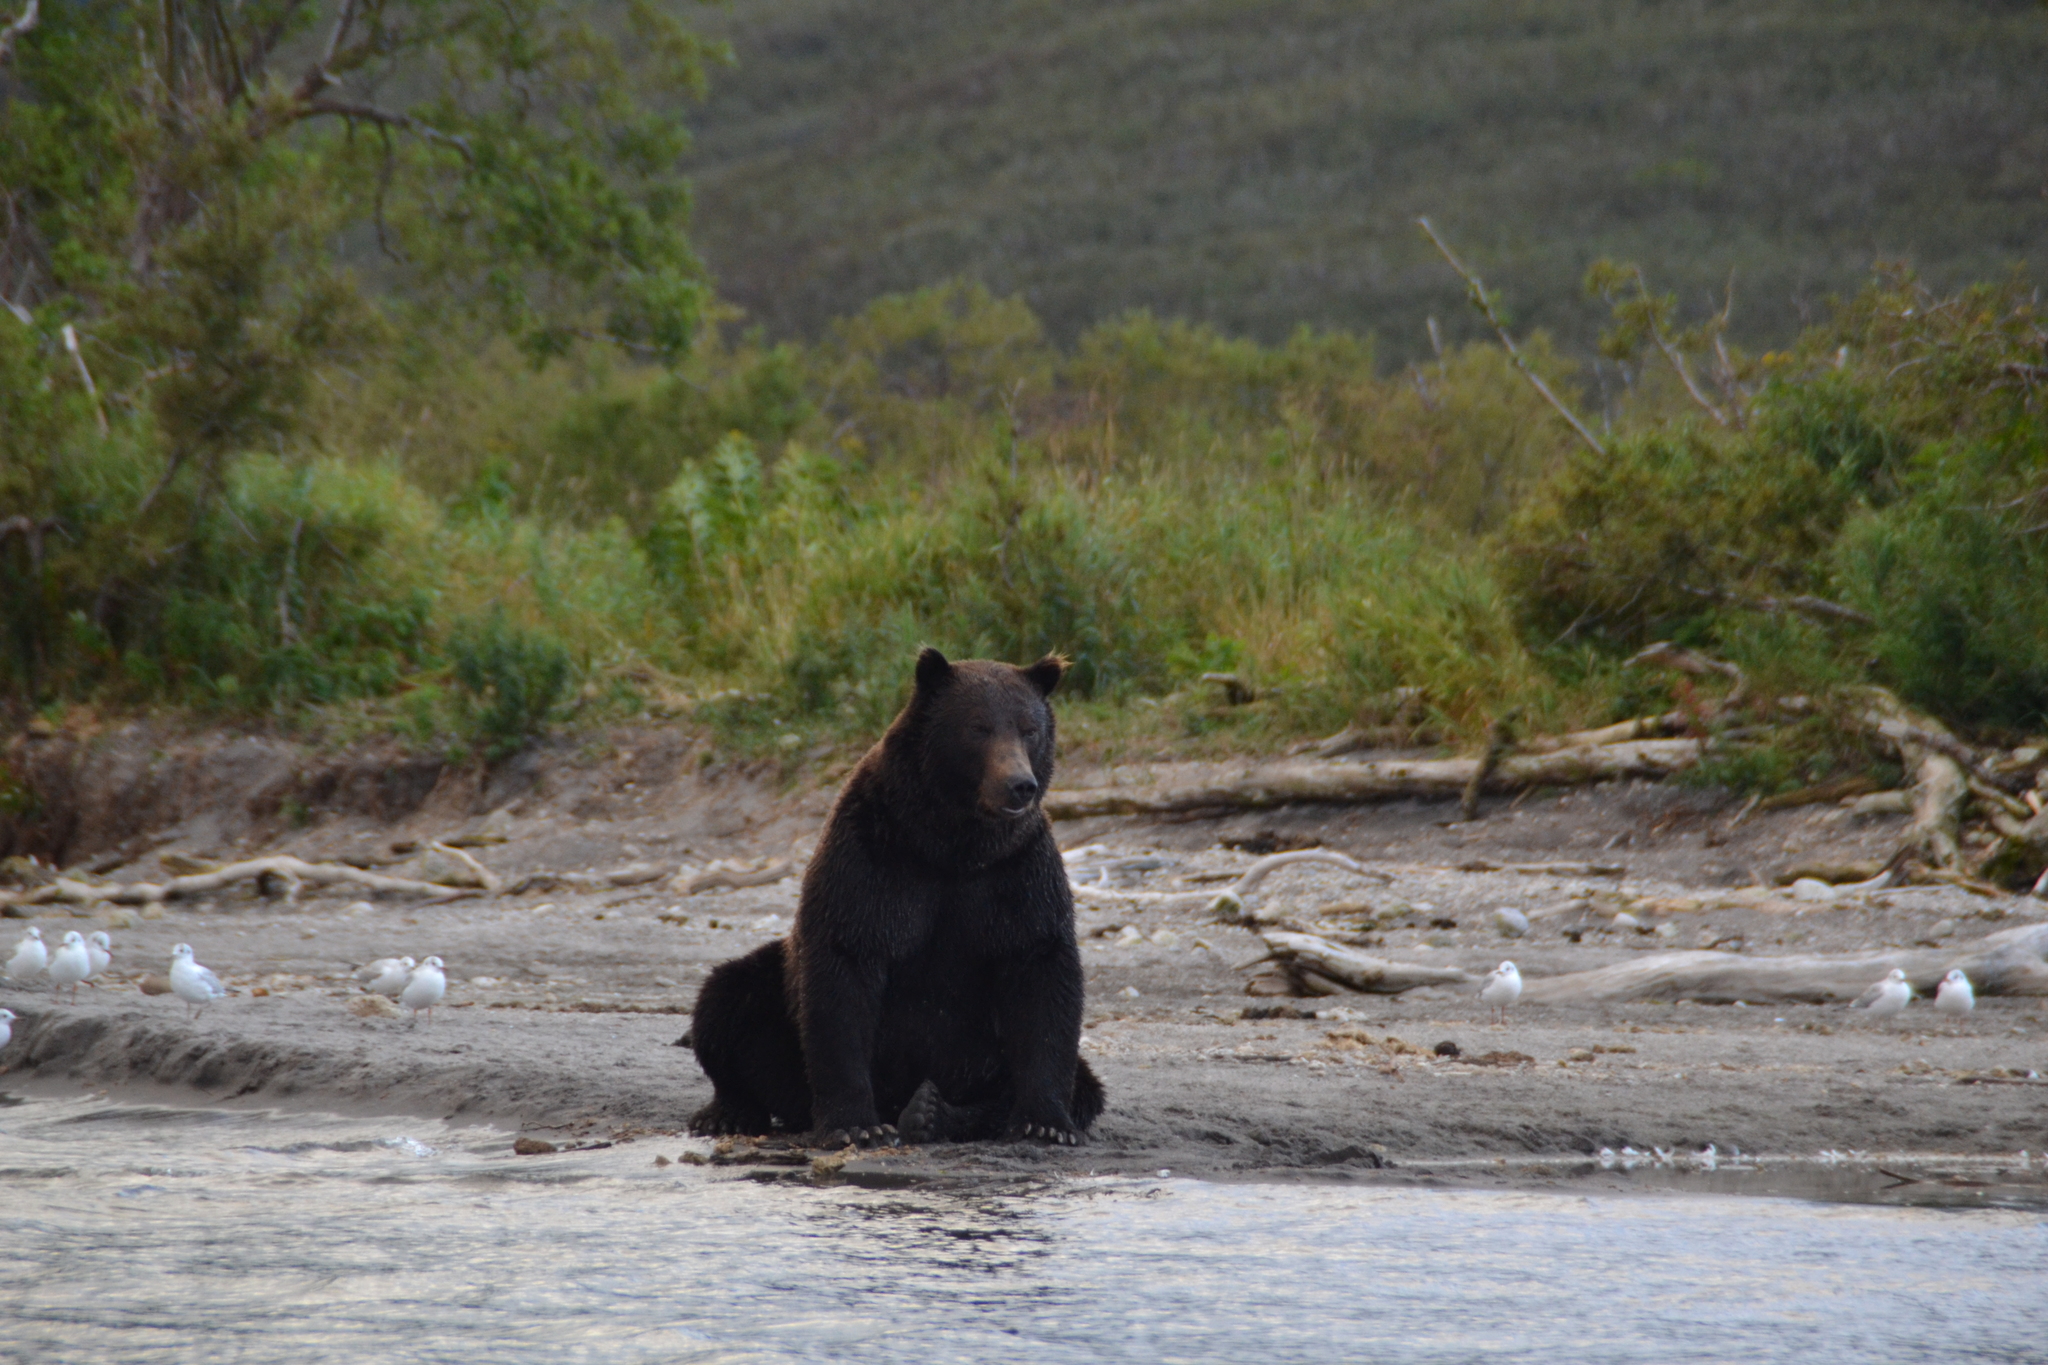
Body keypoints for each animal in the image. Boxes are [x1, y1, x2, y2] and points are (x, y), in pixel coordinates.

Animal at [688, 646, 1105, 1146]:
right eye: (978, 727)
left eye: (1030, 729)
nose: (1019, 784)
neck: (950, 845)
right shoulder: (874, 861)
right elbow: (844, 972)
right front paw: (855, 1125)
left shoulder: (1015, 873)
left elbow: (1042, 974)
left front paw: (1046, 1123)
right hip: (777, 1014)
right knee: (727, 1000)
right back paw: (727, 1111)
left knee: (1084, 1084)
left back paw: (931, 1111)